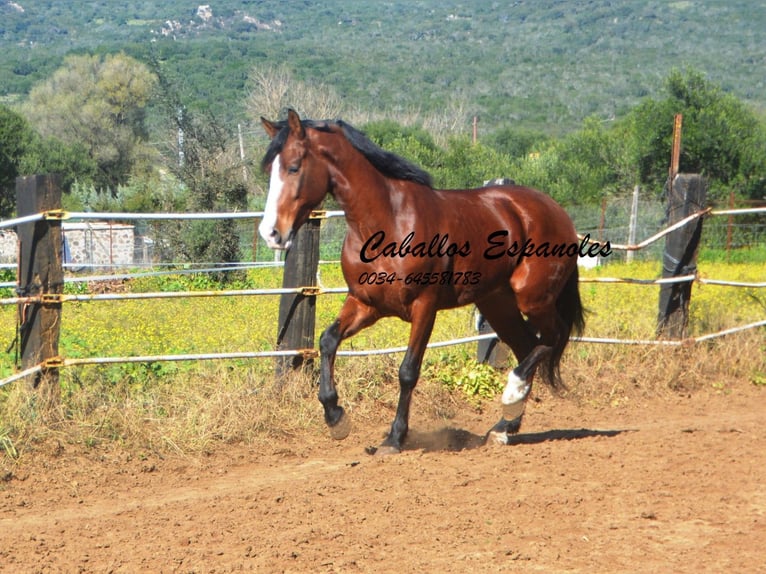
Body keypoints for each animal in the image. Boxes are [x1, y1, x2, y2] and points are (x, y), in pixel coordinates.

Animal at [260, 111, 584, 454]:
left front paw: (394, 438)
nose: (271, 233)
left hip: (532, 298)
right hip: (498, 304)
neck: (390, 222)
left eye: (294, 167)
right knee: (527, 347)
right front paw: (336, 419)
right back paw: (503, 427)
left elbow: (408, 371)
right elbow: (327, 341)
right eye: (269, 170)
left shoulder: (424, 307)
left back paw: (511, 395)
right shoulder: (365, 304)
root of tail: (556, 211)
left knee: (551, 338)